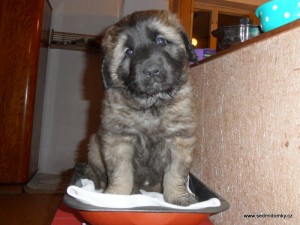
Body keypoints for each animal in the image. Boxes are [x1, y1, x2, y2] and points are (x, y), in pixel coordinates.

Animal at [85, 9, 198, 206]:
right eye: (129, 52)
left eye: (161, 41)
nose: (151, 70)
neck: (151, 106)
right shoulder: (118, 139)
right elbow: (121, 173)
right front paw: (115, 197)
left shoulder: (179, 139)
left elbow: (176, 174)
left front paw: (178, 197)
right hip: (93, 145)